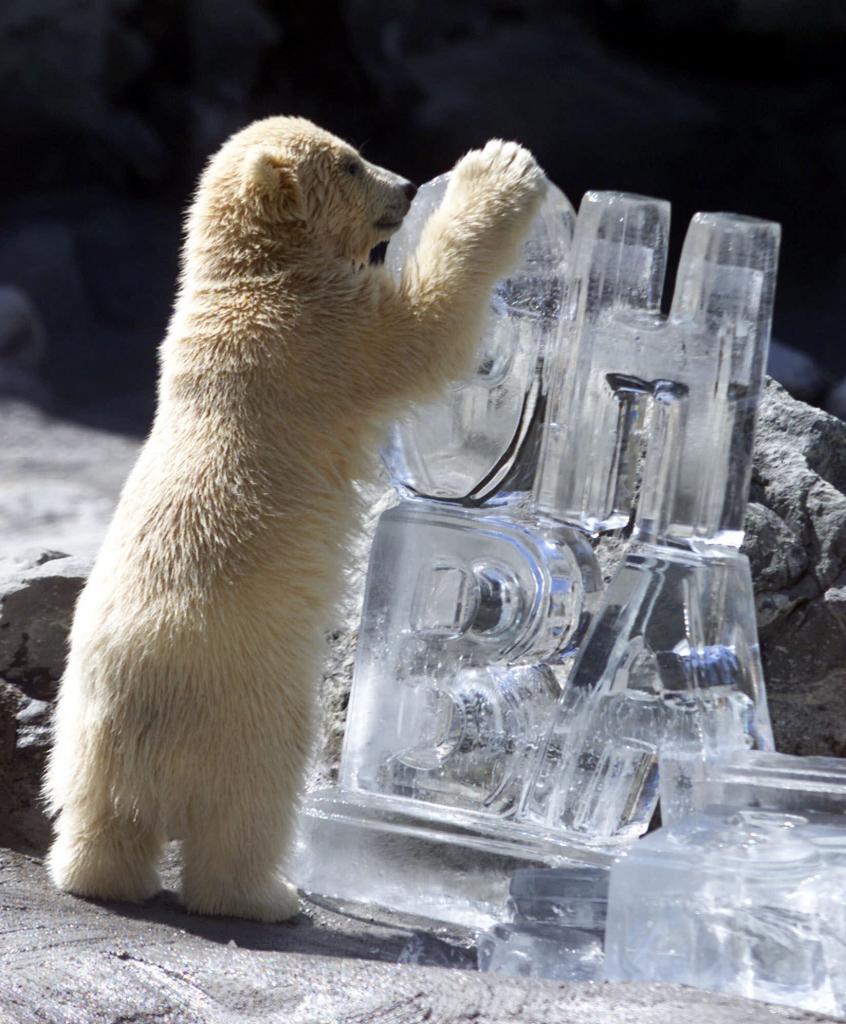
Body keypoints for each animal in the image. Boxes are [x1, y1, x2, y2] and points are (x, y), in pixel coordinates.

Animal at [44, 116, 546, 922]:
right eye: (351, 163)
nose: (407, 186)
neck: (252, 280)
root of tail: (142, 718)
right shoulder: (323, 335)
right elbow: (426, 327)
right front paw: (499, 166)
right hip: (254, 711)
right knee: (249, 813)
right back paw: (268, 896)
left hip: (83, 725)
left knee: (97, 810)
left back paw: (94, 877)